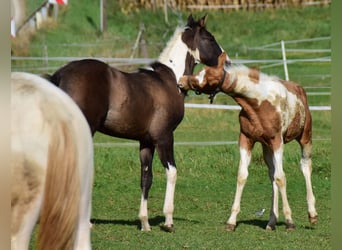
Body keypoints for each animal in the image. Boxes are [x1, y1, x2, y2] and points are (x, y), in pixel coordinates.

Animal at [44, 14, 230, 231]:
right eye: (210, 38)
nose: (228, 62)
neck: (170, 81)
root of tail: (60, 74)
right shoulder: (164, 137)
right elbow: (172, 172)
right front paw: (168, 220)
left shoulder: (146, 142)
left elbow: (146, 178)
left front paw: (145, 222)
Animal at [179, 52, 318, 230]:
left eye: (209, 77)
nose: (181, 81)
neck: (257, 103)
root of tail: (300, 90)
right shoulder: (246, 139)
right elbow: (242, 175)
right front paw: (231, 221)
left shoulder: (277, 141)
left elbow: (281, 177)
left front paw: (290, 221)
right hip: (267, 147)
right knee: (272, 175)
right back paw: (271, 222)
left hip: (305, 137)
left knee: (305, 166)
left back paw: (312, 214)